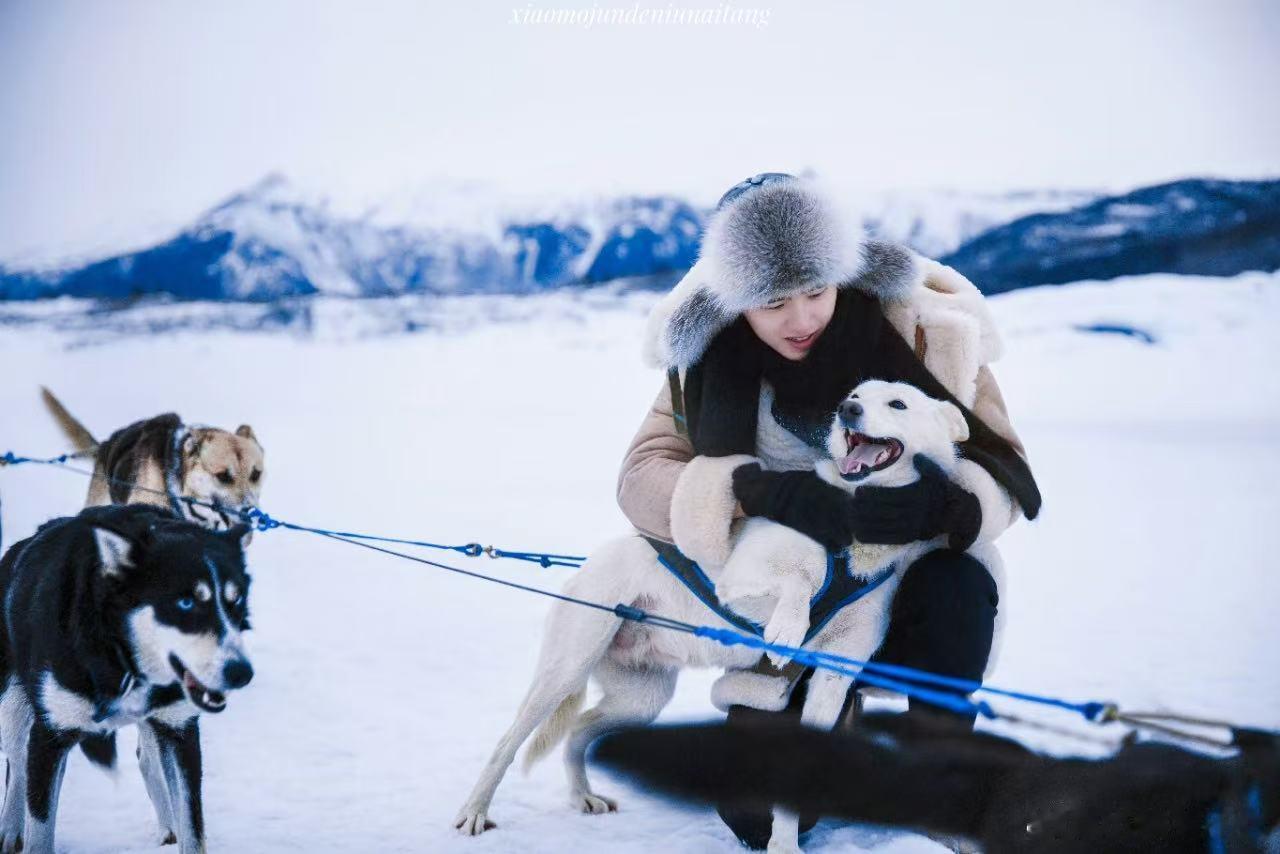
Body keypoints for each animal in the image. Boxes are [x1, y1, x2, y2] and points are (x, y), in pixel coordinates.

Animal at [0, 507, 254, 854]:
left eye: (235, 600)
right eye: (186, 603)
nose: (241, 672)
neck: (120, 657)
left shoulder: (179, 732)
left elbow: (192, 825)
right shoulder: (50, 735)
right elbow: (39, 825)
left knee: (148, 760)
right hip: (13, 712)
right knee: (18, 766)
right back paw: (11, 831)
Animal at [460, 381, 977, 854]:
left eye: (897, 403)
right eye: (855, 394)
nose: (846, 410)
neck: (853, 528)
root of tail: (587, 564)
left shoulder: (834, 675)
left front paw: (783, 845)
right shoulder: (741, 577)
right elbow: (800, 579)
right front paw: (788, 626)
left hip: (640, 700)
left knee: (578, 731)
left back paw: (583, 794)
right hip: (567, 669)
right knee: (509, 742)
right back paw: (474, 811)